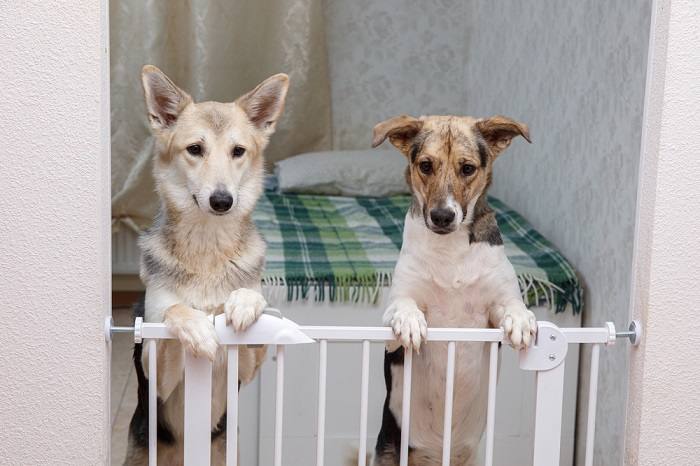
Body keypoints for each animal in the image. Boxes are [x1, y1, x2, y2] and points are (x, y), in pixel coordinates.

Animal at [124, 65, 288, 466]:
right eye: (195, 150)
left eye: (238, 151)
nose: (222, 200)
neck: (208, 250)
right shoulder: (156, 372)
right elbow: (175, 310)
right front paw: (198, 328)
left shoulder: (245, 367)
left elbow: (253, 306)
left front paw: (242, 305)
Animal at [370, 114, 540, 466]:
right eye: (425, 165)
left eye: (467, 168)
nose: (442, 216)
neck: (450, 251)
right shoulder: (393, 321)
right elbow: (403, 308)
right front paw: (410, 322)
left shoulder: (494, 307)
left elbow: (512, 305)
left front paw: (520, 321)